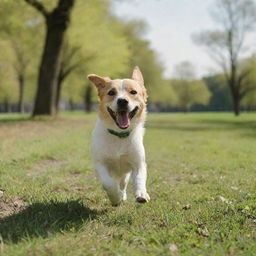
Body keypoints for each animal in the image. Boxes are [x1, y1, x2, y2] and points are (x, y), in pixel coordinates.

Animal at [88, 66, 150, 206]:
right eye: (111, 92)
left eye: (133, 92)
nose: (122, 101)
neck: (119, 135)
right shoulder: (100, 164)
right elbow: (109, 183)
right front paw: (115, 197)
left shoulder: (138, 163)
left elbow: (139, 178)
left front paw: (141, 194)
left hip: (125, 173)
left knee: (123, 183)